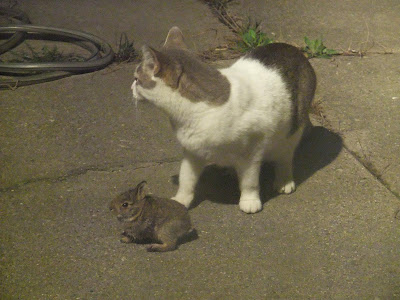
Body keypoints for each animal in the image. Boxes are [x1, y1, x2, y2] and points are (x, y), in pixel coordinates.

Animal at [131, 26, 316, 213]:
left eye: (136, 79)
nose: (131, 87)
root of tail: (294, 50)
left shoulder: (252, 152)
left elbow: (249, 182)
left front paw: (249, 200)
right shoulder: (192, 152)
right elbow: (186, 179)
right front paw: (181, 200)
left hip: (292, 131)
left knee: (284, 157)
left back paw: (284, 179)